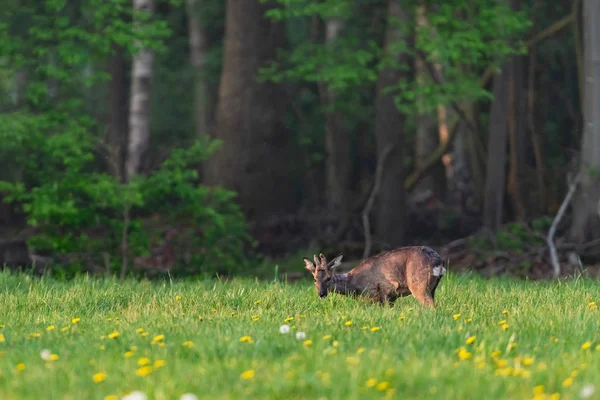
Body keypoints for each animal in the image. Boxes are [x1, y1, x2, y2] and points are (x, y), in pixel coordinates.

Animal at [304, 245, 446, 308]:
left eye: (328, 278)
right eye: (315, 279)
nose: (321, 294)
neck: (353, 284)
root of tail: (439, 262)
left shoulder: (376, 293)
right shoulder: (390, 297)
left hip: (418, 284)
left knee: (431, 306)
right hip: (432, 288)